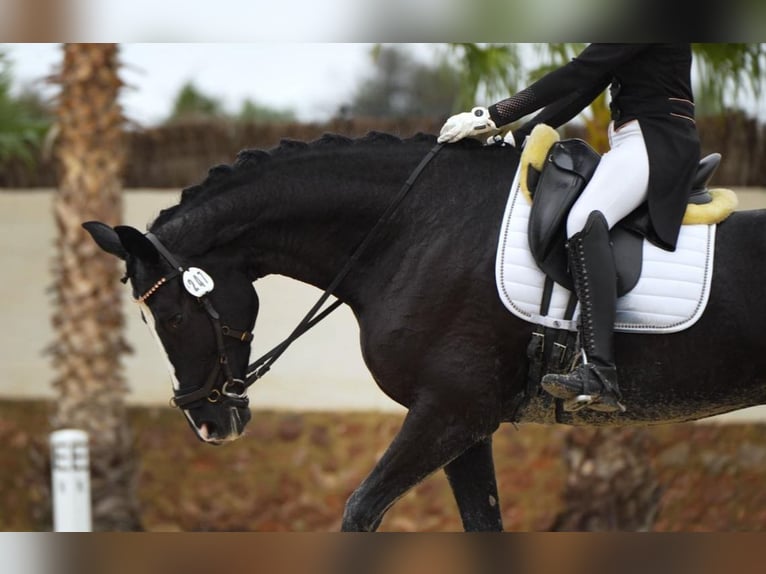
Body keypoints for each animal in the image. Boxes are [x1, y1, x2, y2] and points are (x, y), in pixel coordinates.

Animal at [83, 131, 766, 532]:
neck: (406, 230)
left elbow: (360, 512)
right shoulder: (465, 426)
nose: (209, 423)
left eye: (171, 317)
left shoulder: (450, 412)